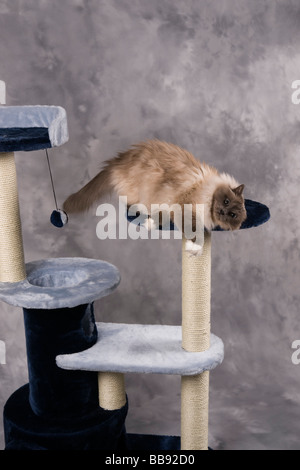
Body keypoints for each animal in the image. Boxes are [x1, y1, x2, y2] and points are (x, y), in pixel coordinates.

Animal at [63, 138, 246, 252]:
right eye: (226, 201)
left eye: (232, 214)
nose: (222, 211)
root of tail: (117, 161)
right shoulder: (184, 207)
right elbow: (193, 231)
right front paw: (195, 248)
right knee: (130, 207)